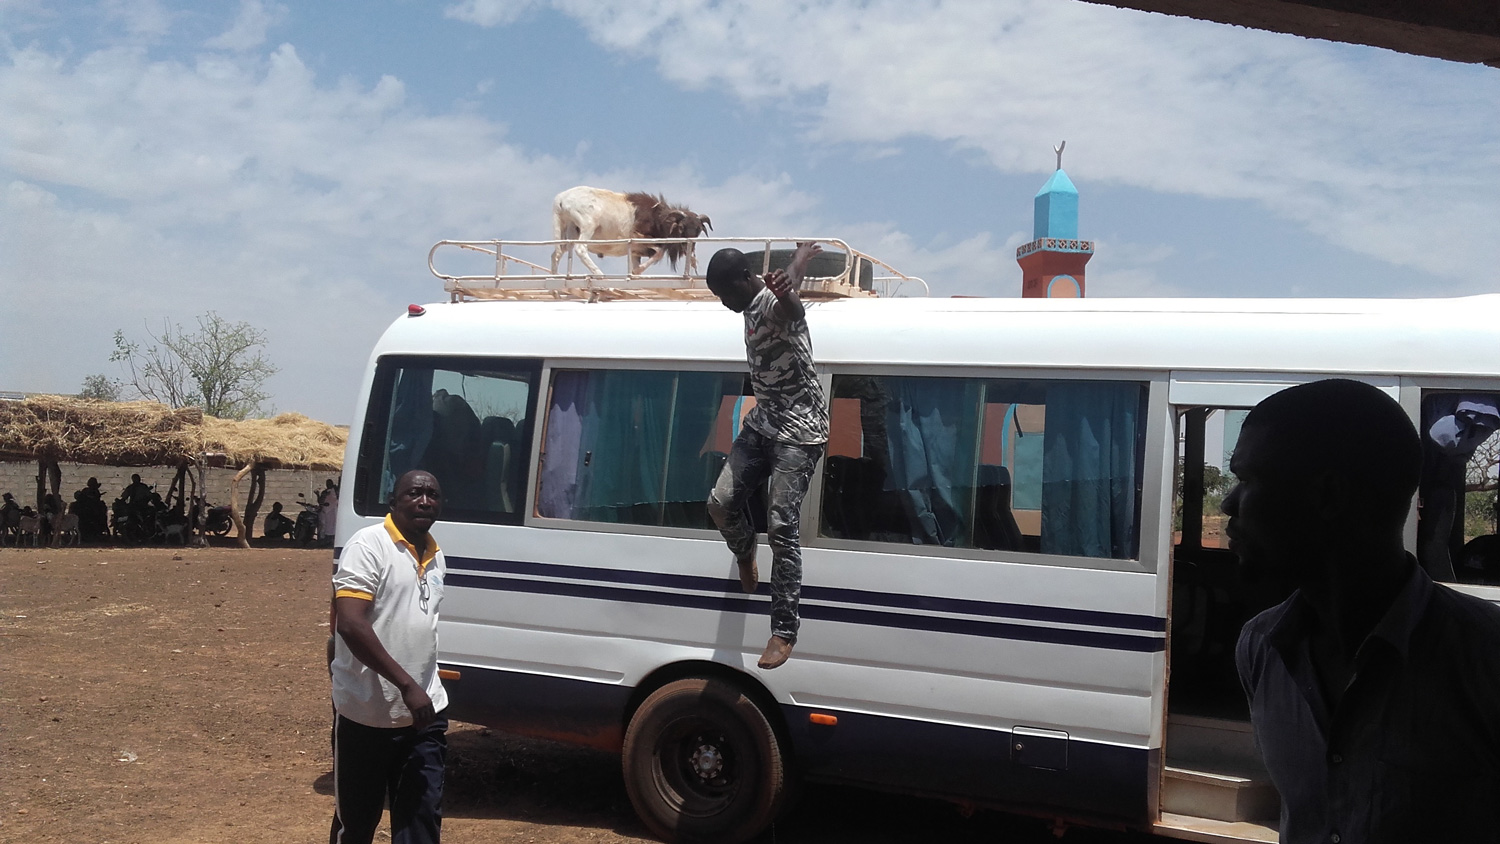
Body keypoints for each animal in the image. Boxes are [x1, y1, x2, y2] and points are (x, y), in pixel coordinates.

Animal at [552, 185, 714, 275]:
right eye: (681, 227)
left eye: (699, 229)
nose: (689, 247)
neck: (657, 218)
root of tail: (560, 200)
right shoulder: (639, 238)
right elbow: (659, 253)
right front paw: (637, 271)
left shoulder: (636, 252)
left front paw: (636, 272)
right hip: (588, 224)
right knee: (580, 248)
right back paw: (599, 274)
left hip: (566, 230)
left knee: (557, 253)